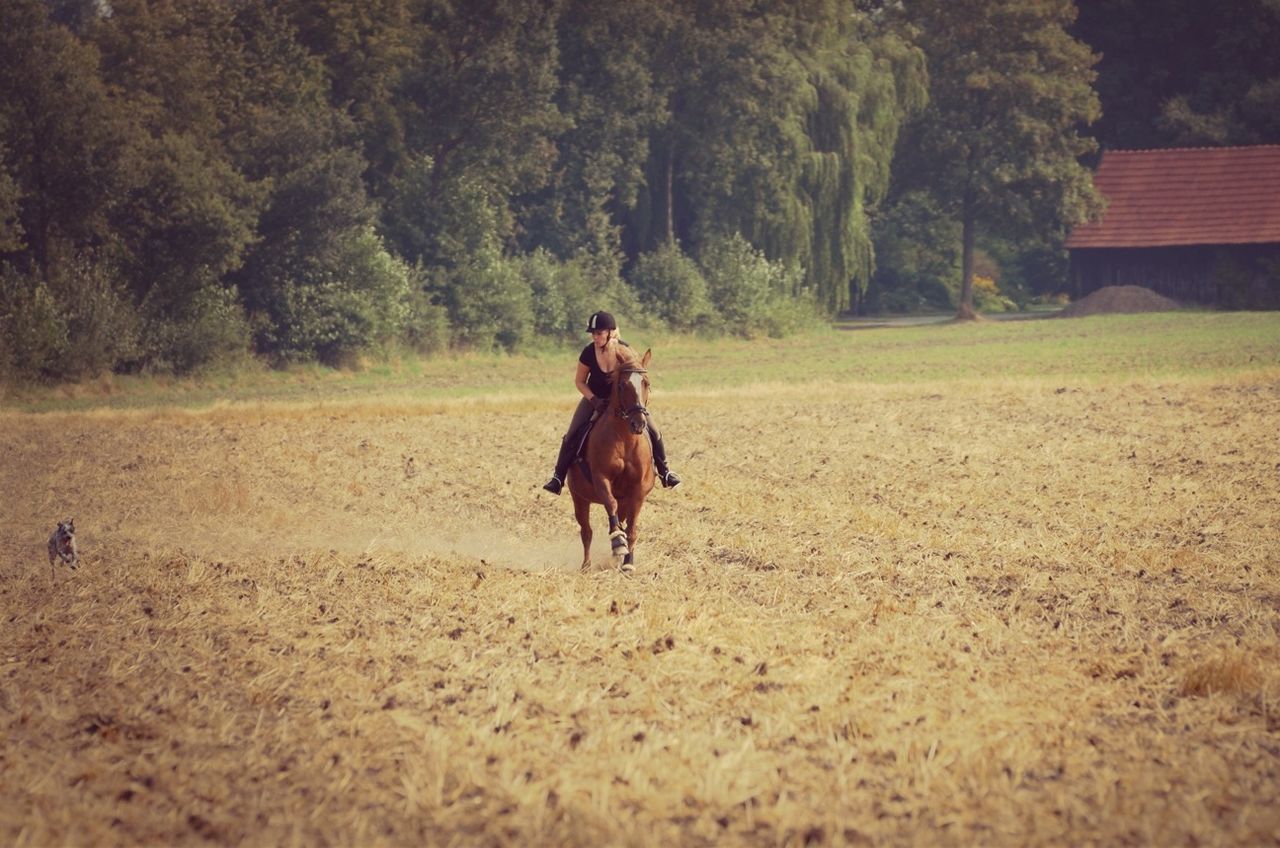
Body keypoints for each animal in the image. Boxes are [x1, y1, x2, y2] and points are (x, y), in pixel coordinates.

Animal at [565, 348, 655, 573]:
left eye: (646, 383)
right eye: (622, 385)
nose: (638, 423)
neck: (625, 439)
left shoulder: (637, 491)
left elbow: (631, 528)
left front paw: (628, 563)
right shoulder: (601, 478)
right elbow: (610, 504)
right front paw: (618, 544)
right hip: (579, 498)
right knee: (586, 531)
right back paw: (587, 565)